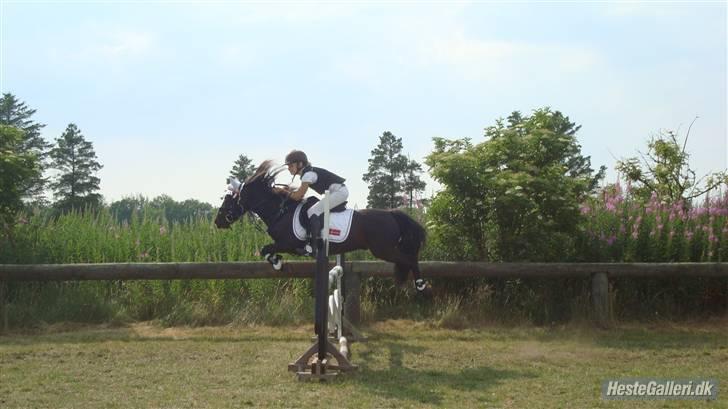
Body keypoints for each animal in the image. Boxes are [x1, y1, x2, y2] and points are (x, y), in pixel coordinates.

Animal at [214, 160, 429, 292]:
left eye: (229, 200)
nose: (218, 222)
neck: (280, 211)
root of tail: (392, 213)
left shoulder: (289, 243)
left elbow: (266, 249)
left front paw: (277, 262)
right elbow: (266, 249)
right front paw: (277, 261)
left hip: (382, 249)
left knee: (409, 259)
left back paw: (420, 284)